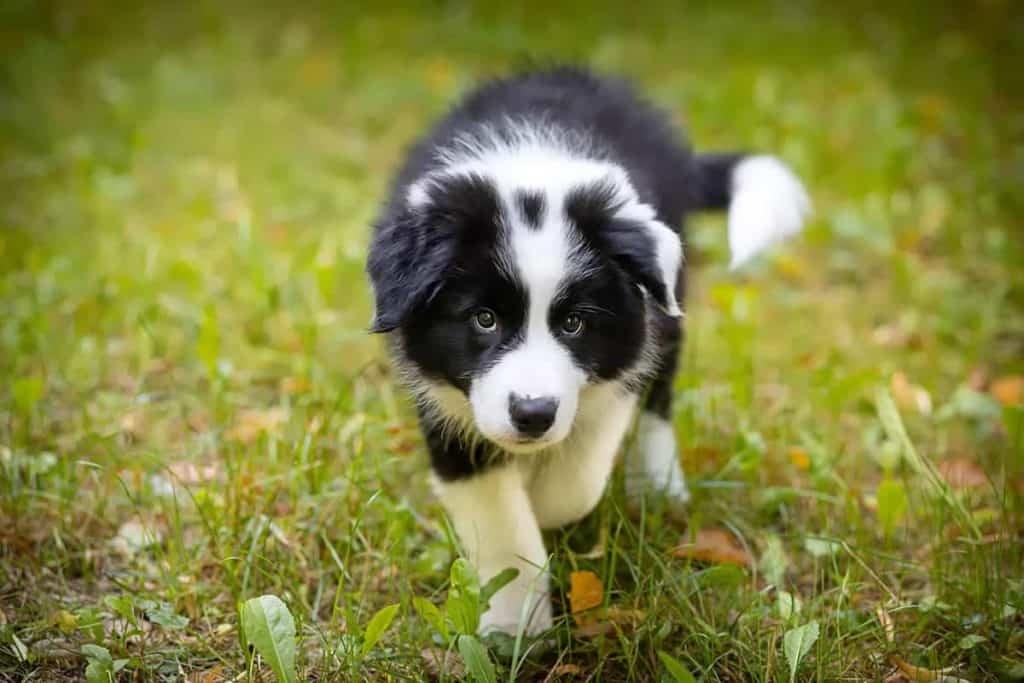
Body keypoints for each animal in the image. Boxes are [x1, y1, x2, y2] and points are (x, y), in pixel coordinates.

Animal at [366, 68, 806, 634]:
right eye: (484, 319)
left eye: (574, 324)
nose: (533, 415)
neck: (529, 165)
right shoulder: (443, 400)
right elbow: (498, 513)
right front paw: (515, 624)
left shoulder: (625, 354)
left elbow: (576, 477)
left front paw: (545, 505)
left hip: (670, 304)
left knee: (659, 399)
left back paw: (657, 483)